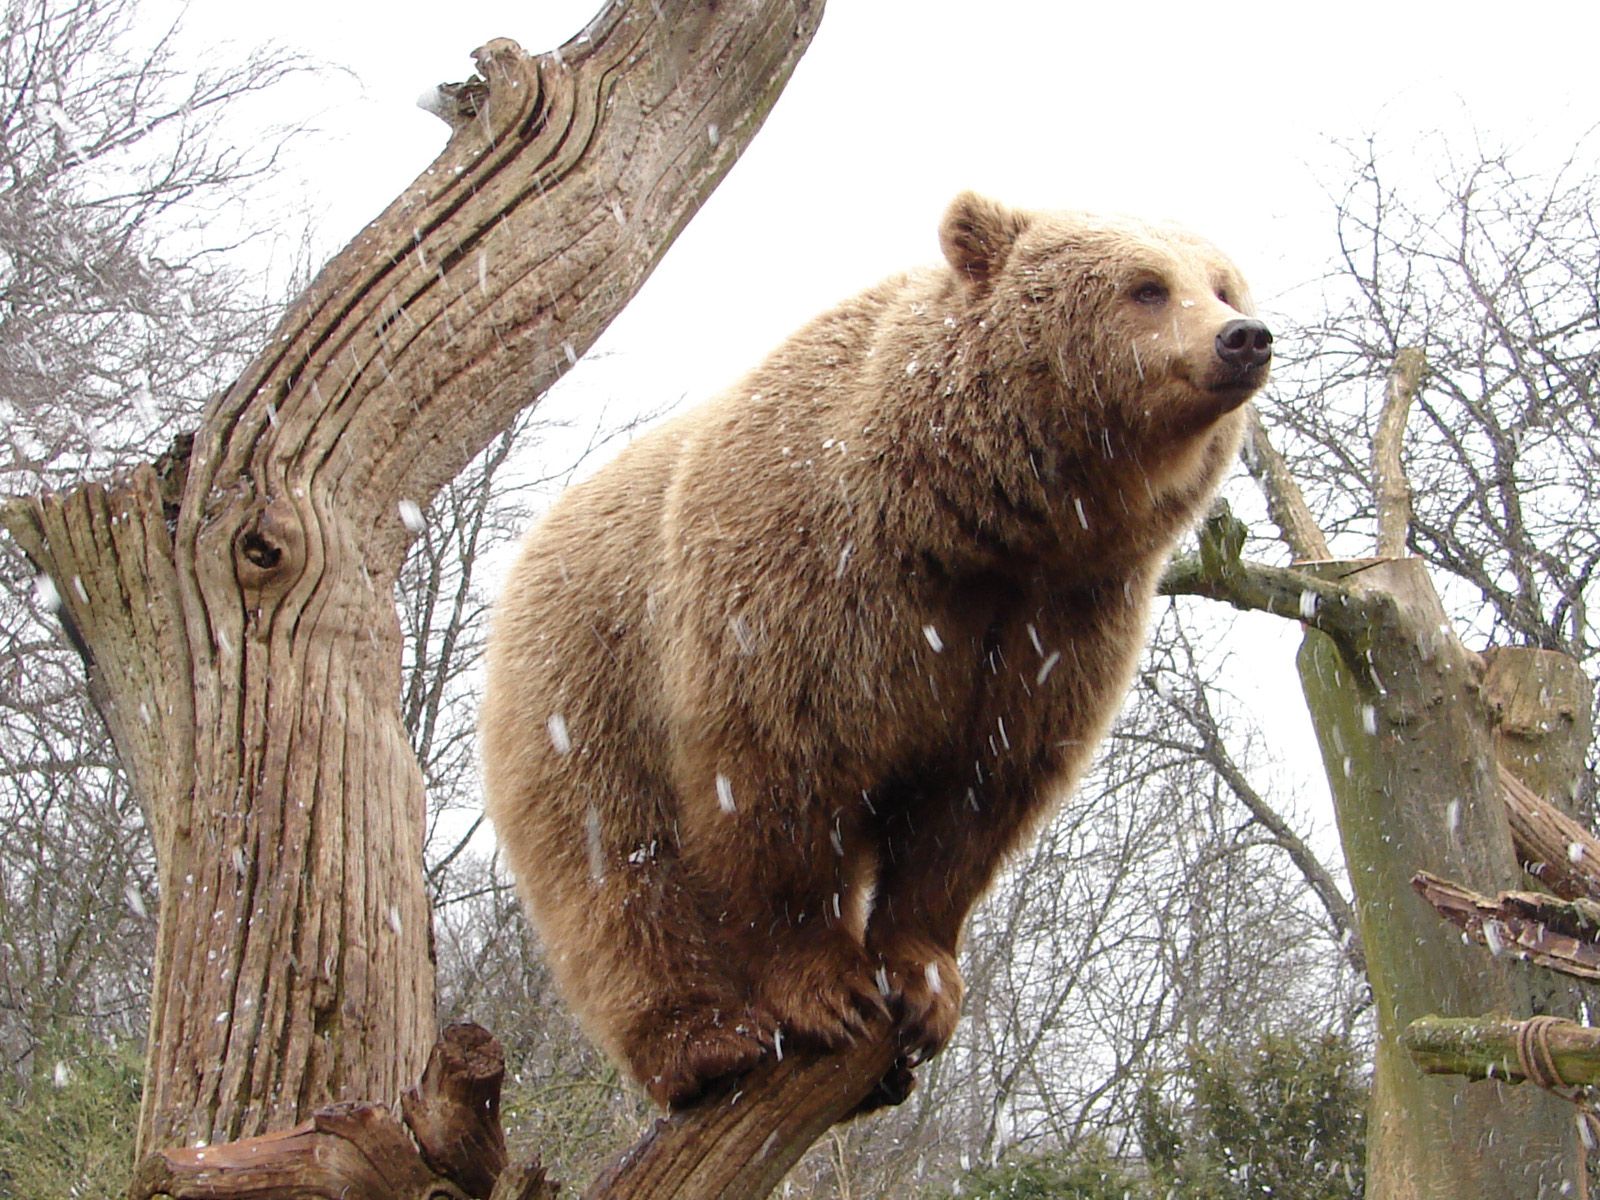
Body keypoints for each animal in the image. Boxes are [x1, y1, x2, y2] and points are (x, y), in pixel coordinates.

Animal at [480, 191, 1271, 1109]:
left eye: (1221, 282)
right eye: (1146, 286)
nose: (1245, 336)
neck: (976, 525)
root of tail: (535, 542)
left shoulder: (1057, 626)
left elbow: (974, 800)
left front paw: (923, 980)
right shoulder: (810, 587)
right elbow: (775, 776)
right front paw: (830, 989)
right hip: (586, 674)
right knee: (614, 863)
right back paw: (704, 1040)